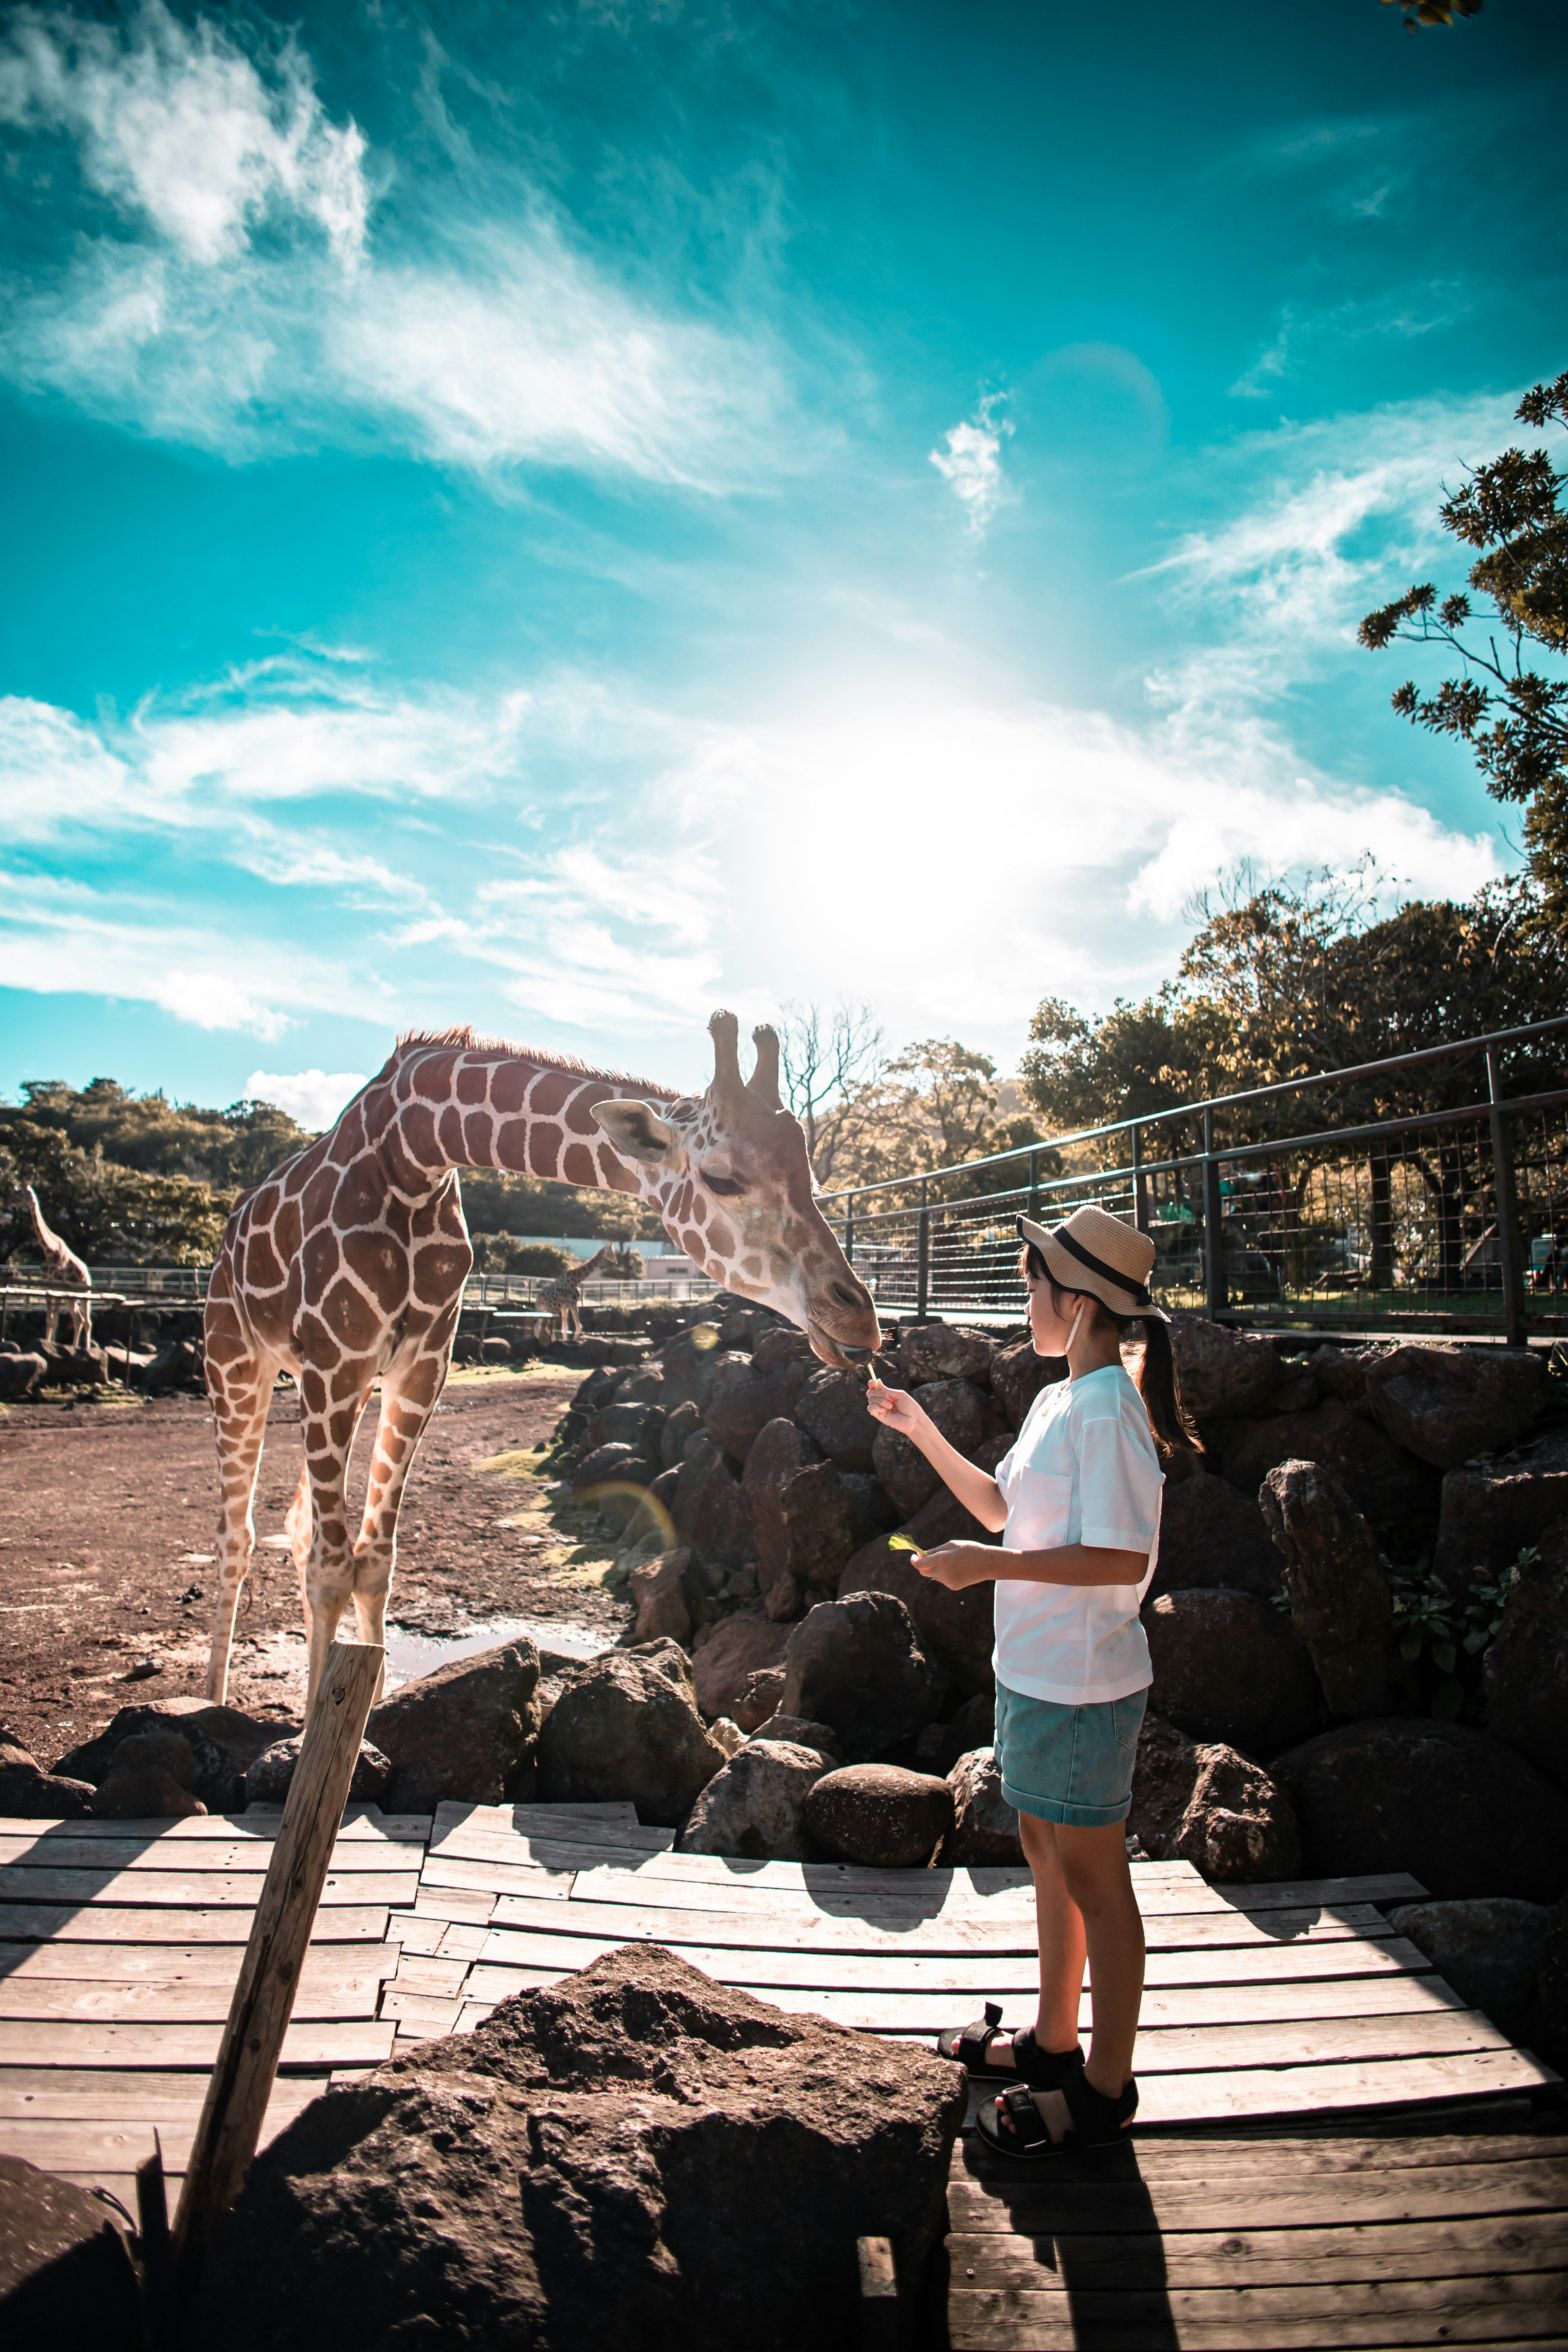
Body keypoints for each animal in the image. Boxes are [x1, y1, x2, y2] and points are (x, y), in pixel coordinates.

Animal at [13, 1185, 92, 1355]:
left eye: (24, 1194)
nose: (11, 1200)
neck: (49, 1251)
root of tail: (87, 1274)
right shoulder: (47, 1284)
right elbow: (49, 1319)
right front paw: (48, 1343)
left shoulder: (58, 1285)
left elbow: (55, 1320)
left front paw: (51, 1346)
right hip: (71, 1297)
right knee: (78, 1319)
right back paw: (75, 1347)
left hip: (85, 1294)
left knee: (87, 1321)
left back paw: (86, 1349)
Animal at [533, 1251, 620, 1345]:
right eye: (612, 1252)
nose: (615, 1261)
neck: (577, 1279)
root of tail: (540, 1297)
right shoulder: (573, 1303)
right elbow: (579, 1327)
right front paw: (573, 1341)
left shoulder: (564, 1307)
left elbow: (565, 1328)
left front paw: (565, 1341)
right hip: (553, 1309)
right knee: (549, 1327)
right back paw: (552, 1342)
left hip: (541, 1308)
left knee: (538, 1326)